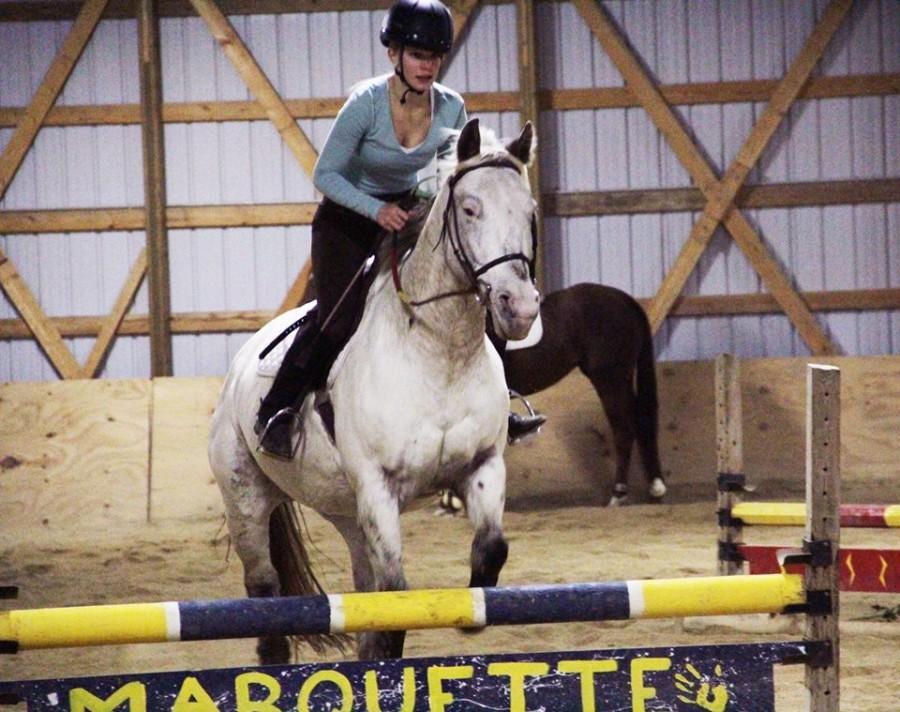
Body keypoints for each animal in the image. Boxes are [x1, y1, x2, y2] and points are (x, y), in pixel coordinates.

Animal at [207, 118, 536, 660]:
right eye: (470, 209)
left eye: (529, 212)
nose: (521, 307)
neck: (438, 350)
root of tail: (238, 368)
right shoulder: (378, 485)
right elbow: (396, 594)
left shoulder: (483, 465)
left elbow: (492, 549)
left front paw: (471, 617)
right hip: (247, 499)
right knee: (264, 589)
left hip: (347, 512)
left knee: (363, 587)